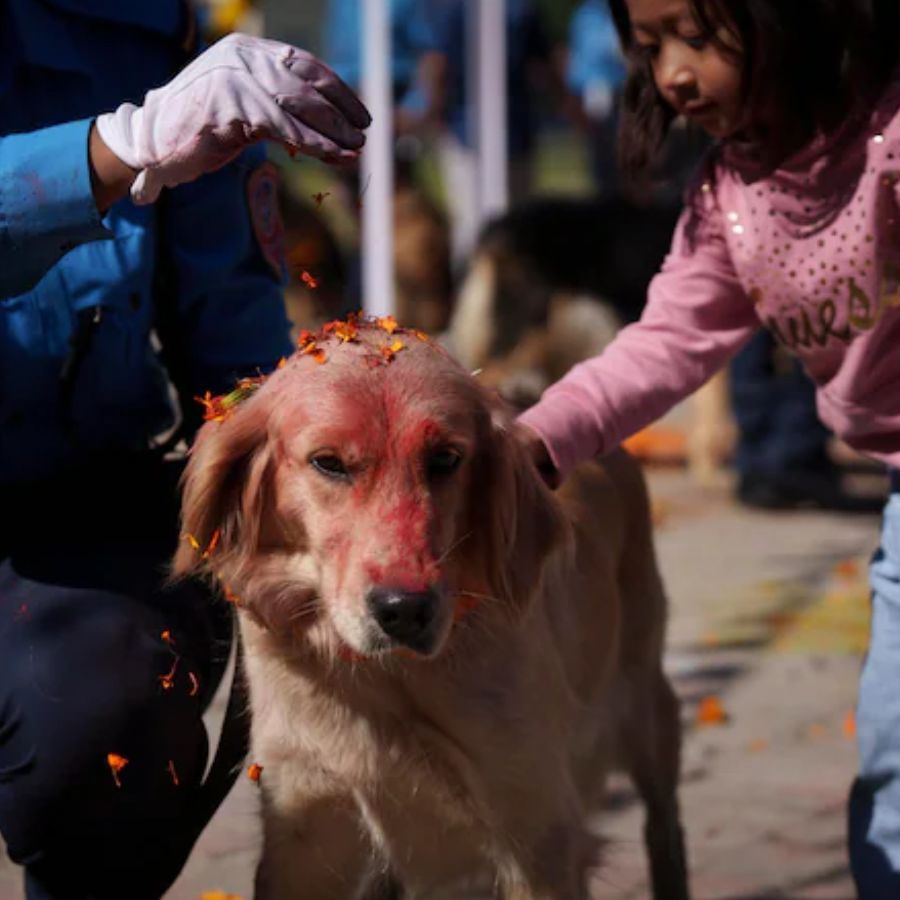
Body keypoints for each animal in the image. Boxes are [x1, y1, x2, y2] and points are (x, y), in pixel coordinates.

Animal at [172, 318, 688, 900]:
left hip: (646, 710)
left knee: (663, 822)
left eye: (445, 460)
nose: (404, 610)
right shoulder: (305, 826)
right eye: (328, 463)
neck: (387, 683)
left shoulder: (538, 832)